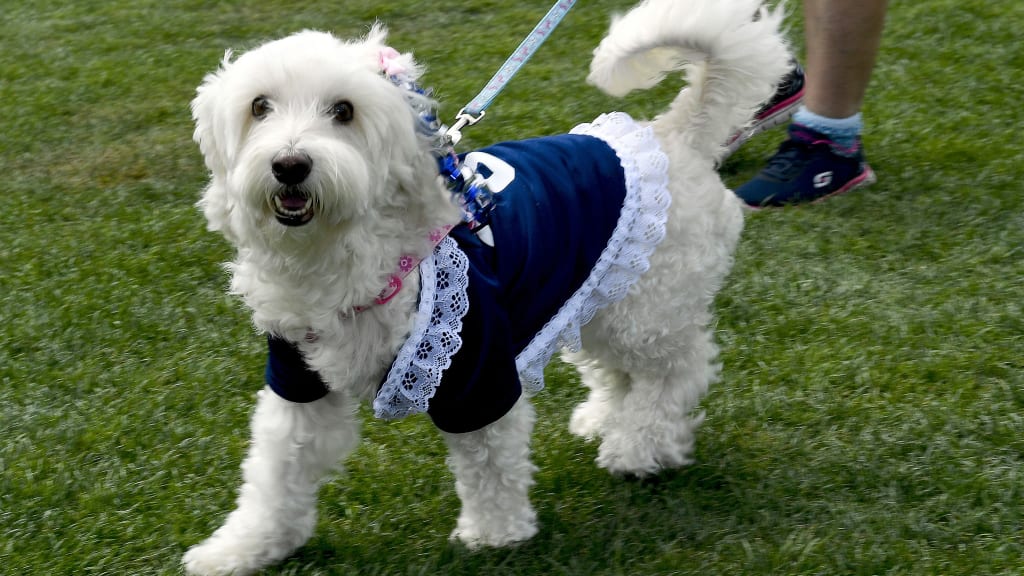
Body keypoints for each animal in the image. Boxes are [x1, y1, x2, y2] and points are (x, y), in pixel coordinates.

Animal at [184, 1, 786, 569]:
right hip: (600, 299)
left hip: (647, 311)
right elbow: (275, 473)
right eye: (259, 107)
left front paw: (496, 537)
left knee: (680, 369)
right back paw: (605, 422)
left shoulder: (479, 370)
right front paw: (241, 549)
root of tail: (671, 135)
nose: (289, 164)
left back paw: (640, 447)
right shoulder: (298, 380)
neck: (347, 252)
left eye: (344, 111)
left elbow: (490, 462)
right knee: (623, 372)